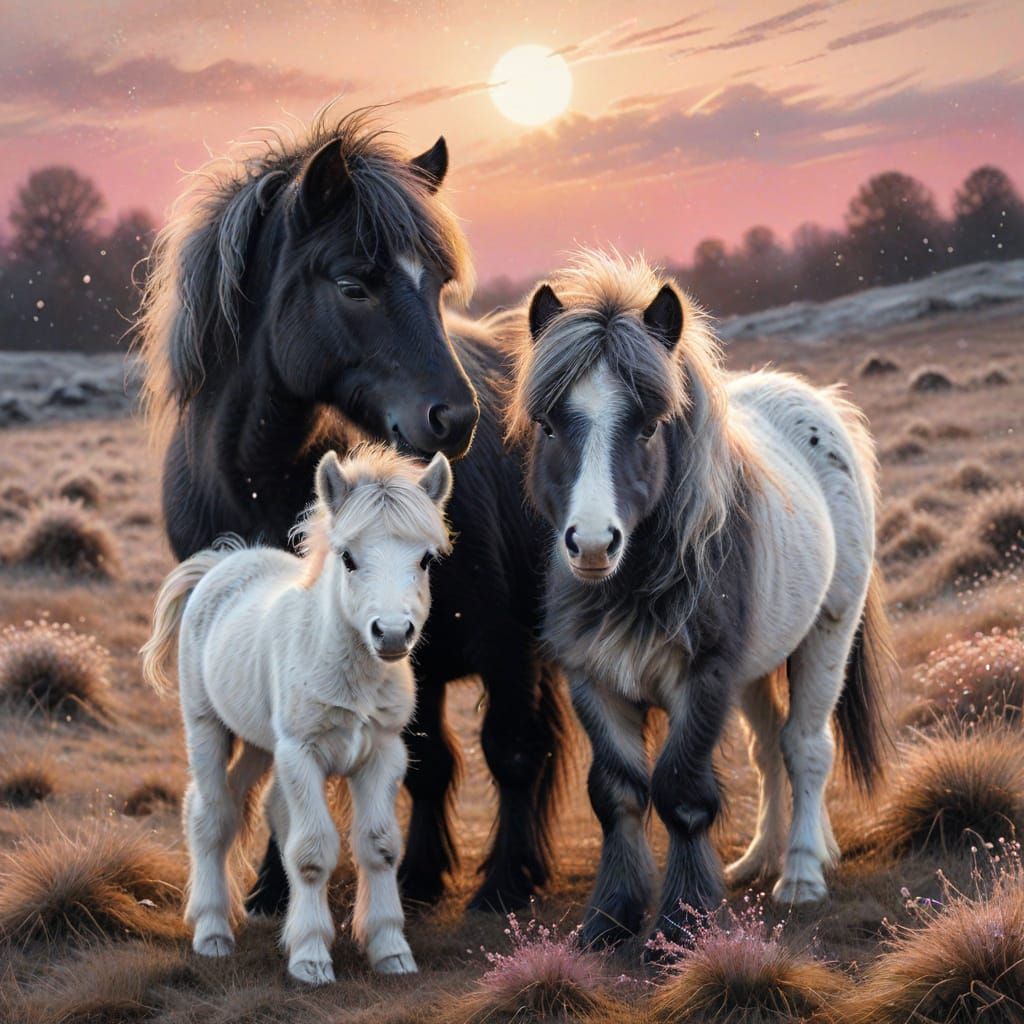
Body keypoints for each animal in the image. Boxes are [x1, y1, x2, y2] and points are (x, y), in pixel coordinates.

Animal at [135, 109, 567, 916]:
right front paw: (273, 891)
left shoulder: (502, 642)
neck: (258, 484)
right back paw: (425, 875)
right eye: (351, 284)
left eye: (437, 283)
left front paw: (500, 886)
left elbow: (511, 750)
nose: (456, 418)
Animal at [141, 445, 454, 984]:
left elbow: (378, 846)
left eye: (425, 558)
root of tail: (225, 561)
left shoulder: (382, 754)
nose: (392, 633)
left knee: (256, 808)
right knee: (210, 814)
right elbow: (310, 853)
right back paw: (212, 930)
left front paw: (390, 950)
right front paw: (310, 959)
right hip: (207, 726)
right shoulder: (301, 752)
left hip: (260, 744)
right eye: (349, 557)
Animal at [503, 250, 895, 949]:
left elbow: (682, 793)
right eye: (548, 425)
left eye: (650, 426)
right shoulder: (593, 680)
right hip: (758, 666)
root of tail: (816, 401)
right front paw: (609, 920)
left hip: (827, 634)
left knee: (806, 747)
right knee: (771, 752)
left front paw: (684, 924)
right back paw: (761, 859)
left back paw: (800, 872)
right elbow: (618, 795)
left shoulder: (703, 677)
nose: (594, 542)